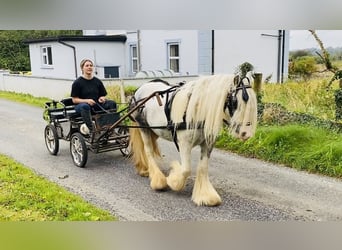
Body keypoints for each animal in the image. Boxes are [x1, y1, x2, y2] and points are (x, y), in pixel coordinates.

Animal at [128, 73, 256, 206]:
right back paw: (158, 181)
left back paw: (145, 169)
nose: (246, 134)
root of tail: (139, 89)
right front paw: (173, 180)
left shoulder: (208, 144)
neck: (198, 109)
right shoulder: (184, 143)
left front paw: (206, 196)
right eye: (235, 102)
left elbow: (203, 167)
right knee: (148, 150)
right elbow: (186, 170)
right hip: (143, 127)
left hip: (154, 130)